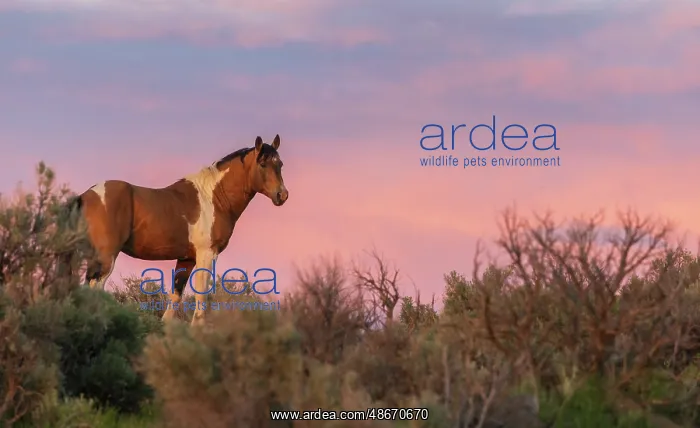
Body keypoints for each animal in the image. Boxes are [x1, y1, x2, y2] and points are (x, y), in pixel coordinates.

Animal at [63, 135, 288, 325]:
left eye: (280, 164)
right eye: (262, 163)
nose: (282, 195)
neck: (213, 198)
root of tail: (86, 196)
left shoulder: (186, 259)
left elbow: (176, 295)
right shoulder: (207, 253)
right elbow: (201, 294)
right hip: (106, 258)